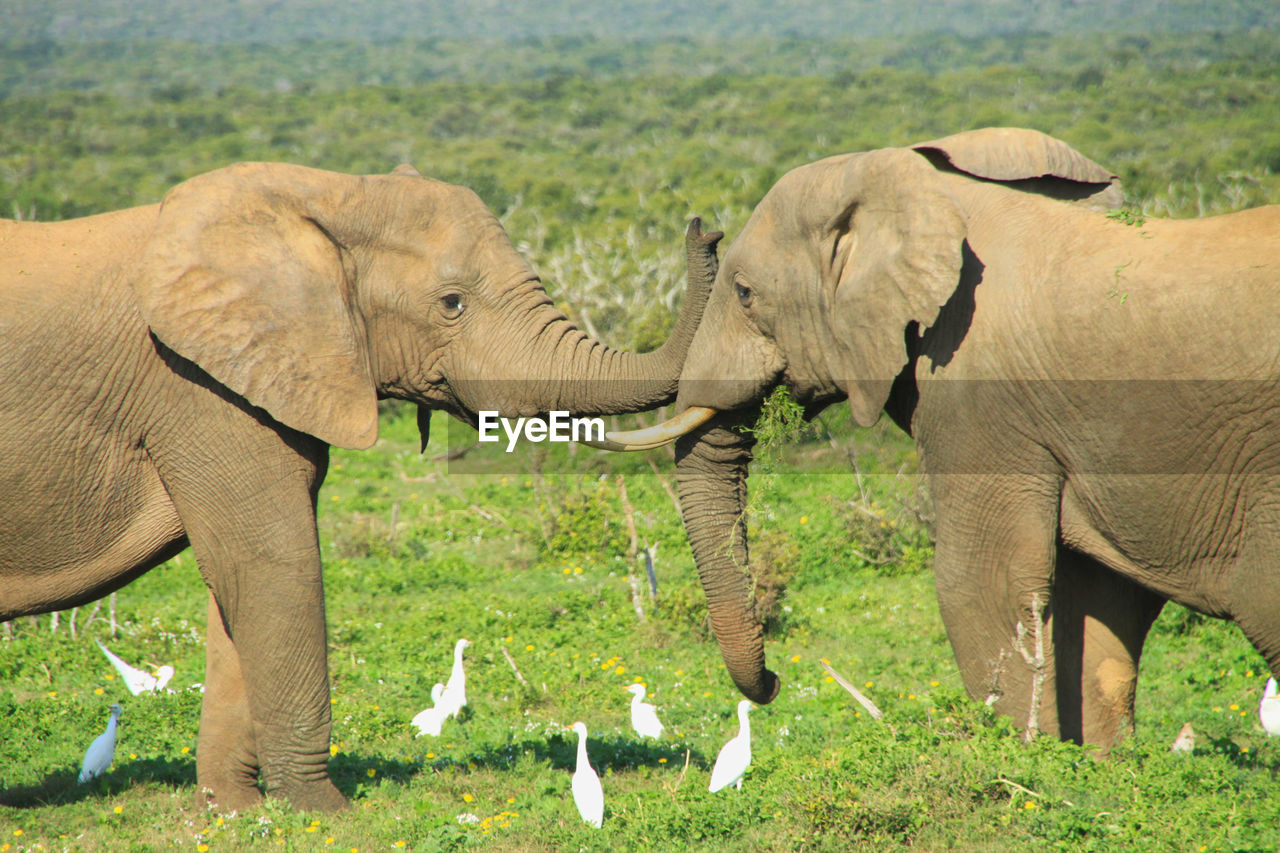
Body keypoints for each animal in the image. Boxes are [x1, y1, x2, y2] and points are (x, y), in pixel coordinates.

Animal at [0, 161, 721, 809]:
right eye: (452, 303)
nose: (704, 229)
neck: (325, 193)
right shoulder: (193, 385)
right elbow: (275, 563)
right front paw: (323, 812)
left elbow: (235, 581)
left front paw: (235, 811)